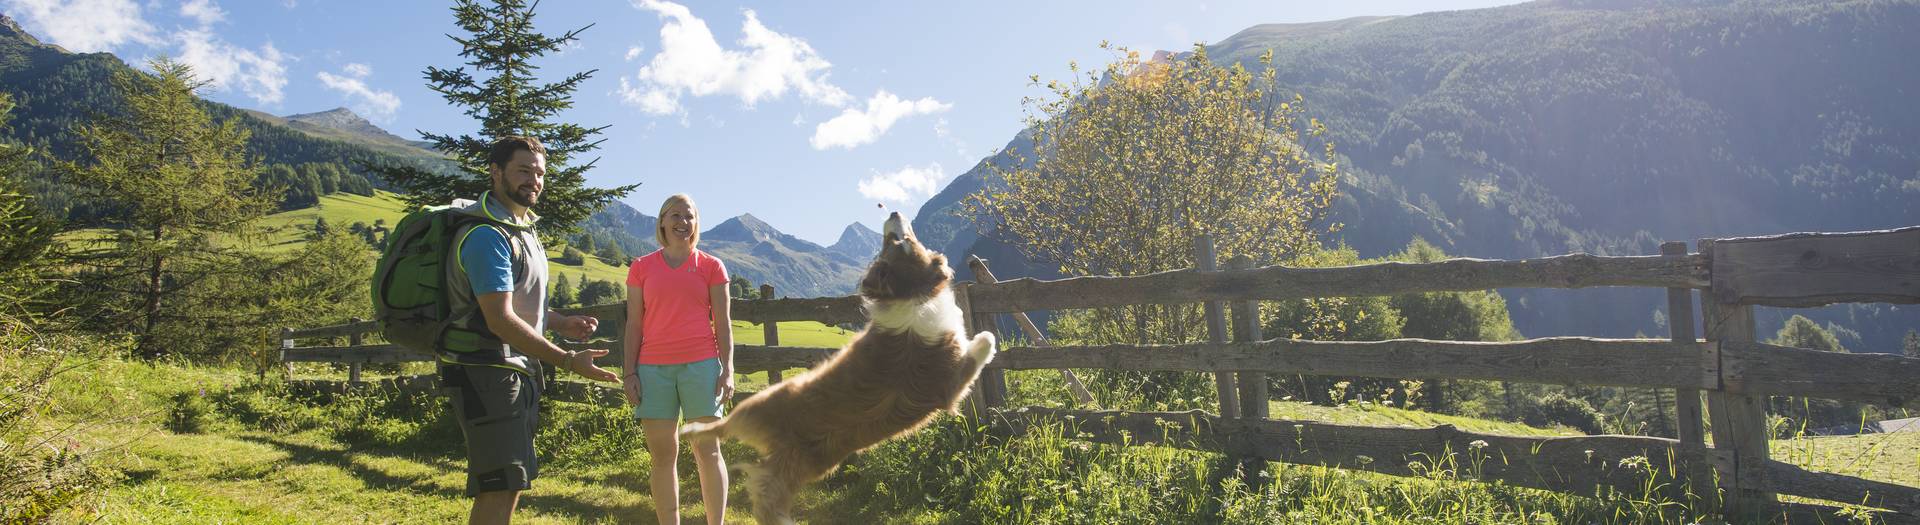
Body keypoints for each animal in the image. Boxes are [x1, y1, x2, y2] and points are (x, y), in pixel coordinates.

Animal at [679, 210, 1006, 519]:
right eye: (899, 241)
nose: (893, 214)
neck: (912, 293)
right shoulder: (952, 383)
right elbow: (984, 343)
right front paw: (986, 339)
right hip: (764, 406)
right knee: (735, 447)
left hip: (800, 465)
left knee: (760, 485)